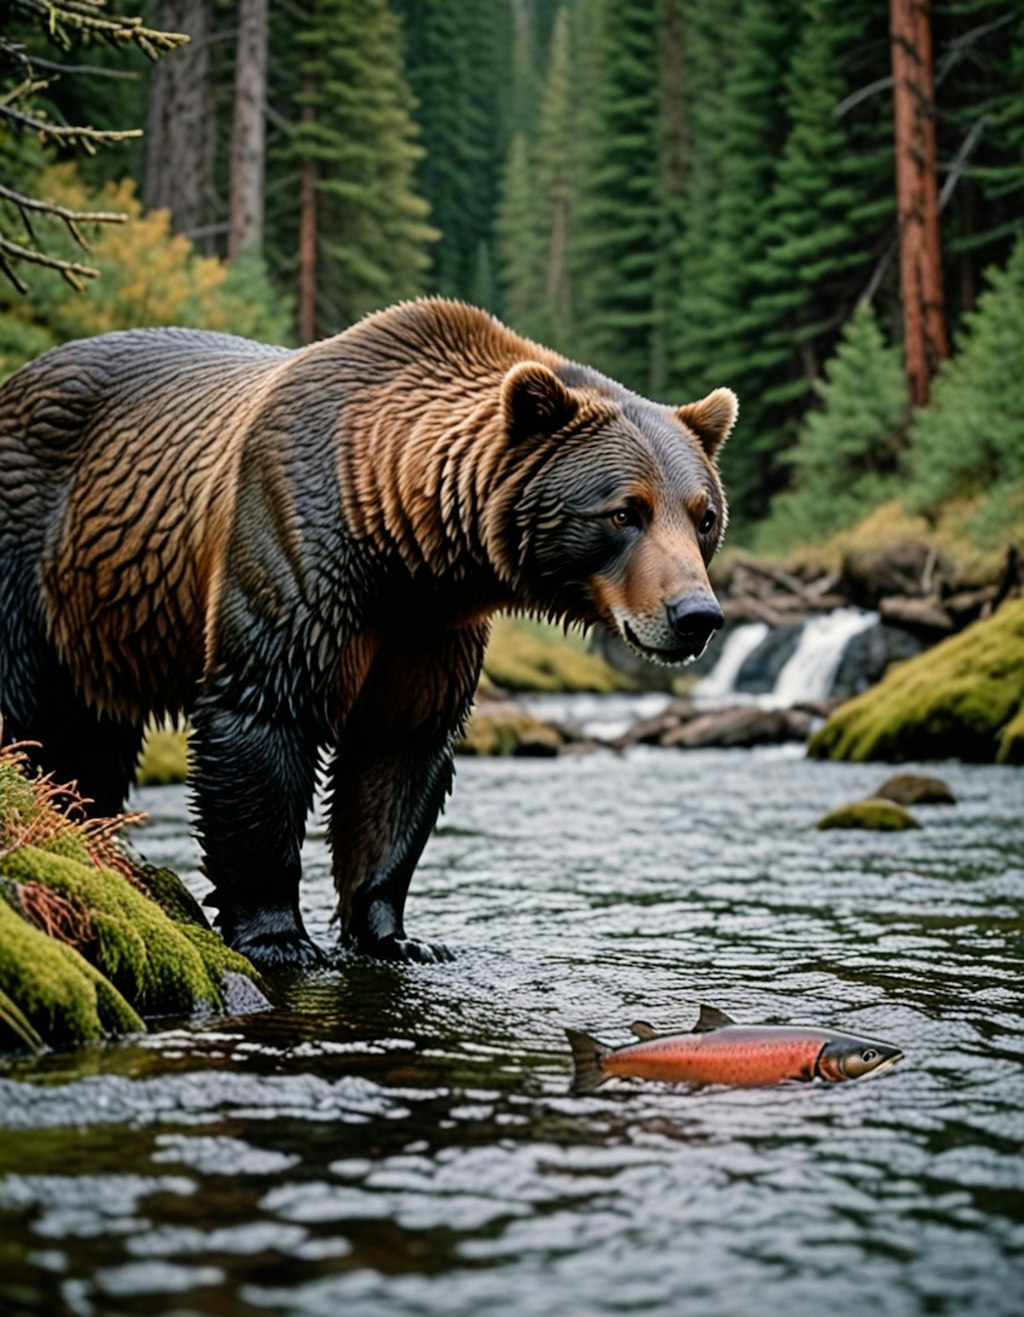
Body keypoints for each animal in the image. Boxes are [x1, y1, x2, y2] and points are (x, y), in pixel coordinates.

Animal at [0, 302, 731, 974]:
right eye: (625, 510)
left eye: (703, 516)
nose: (696, 615)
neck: (402, 540)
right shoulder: (297, 547)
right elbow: (264, 718)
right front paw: (280, 937)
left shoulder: (426, 630)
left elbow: (398, 756)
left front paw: (398, 936)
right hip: (35, 551)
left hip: (98, 620)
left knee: (93, 734)